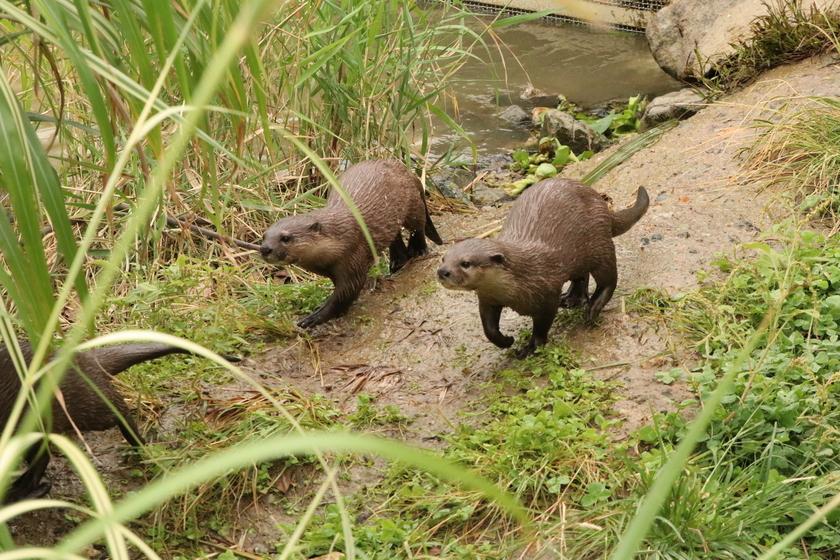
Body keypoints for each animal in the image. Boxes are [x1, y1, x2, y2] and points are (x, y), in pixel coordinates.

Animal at [260, 159, 446, 328]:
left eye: (286, 238)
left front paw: (314, 317)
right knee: (395, 237)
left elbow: (346, 292)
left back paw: (419, 250)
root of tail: (405, 169)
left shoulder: (353, 256)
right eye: (264, 236)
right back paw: (396, 263)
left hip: (412, 206)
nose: (265, 249)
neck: (338, 239)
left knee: (418, 226)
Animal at [440, 177, 648, 356]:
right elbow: (488, 327)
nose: (442, 272)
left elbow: (542, 324)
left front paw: (531, 347)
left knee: (608, 279)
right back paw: (572, 299)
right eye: (444, 258)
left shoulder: (546, 295)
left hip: (600, 244)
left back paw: (592, 308)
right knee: (581, 275)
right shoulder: (488, 298)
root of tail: (602, 204)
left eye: (465, 263)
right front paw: (505, 340)